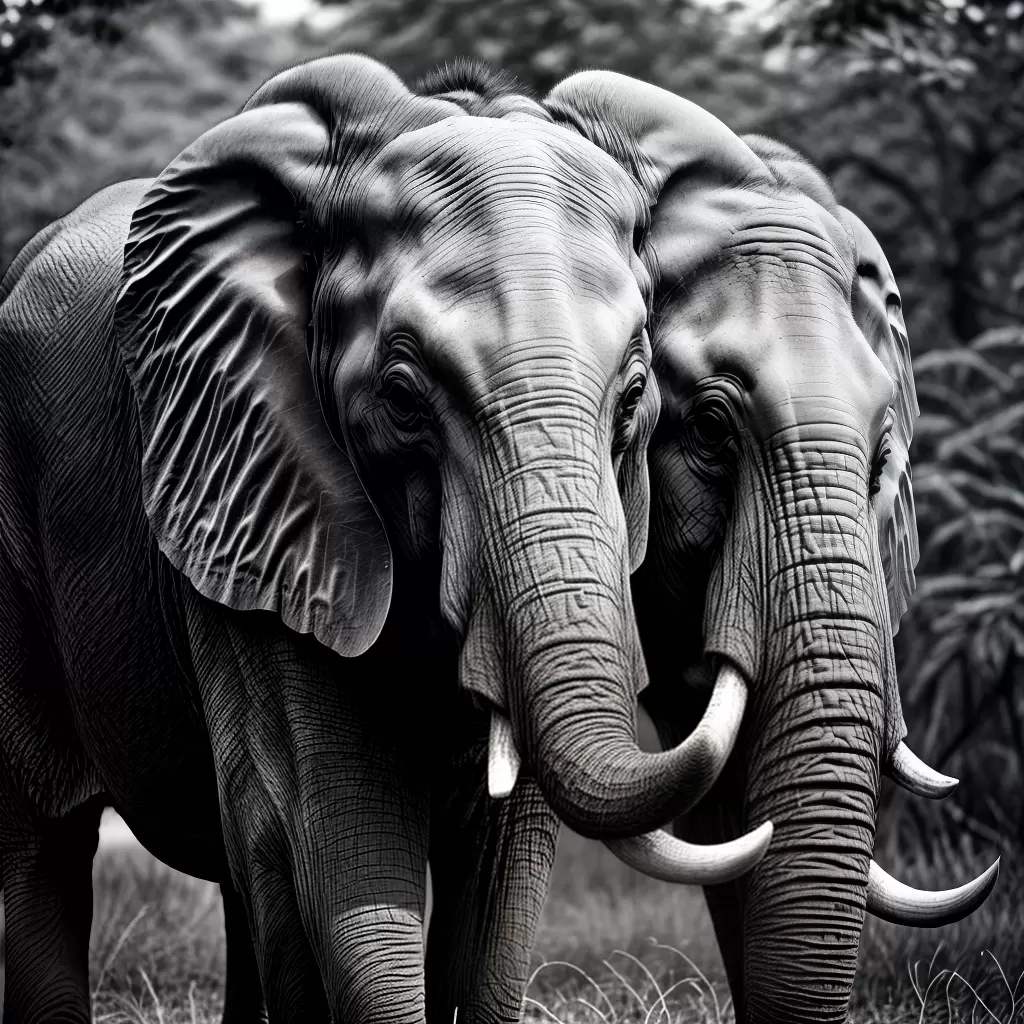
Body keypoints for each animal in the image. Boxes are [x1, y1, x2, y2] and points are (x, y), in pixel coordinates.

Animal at [0, 55, 775, 1024]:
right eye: (403, 397)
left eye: (636, 393)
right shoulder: (258, 492)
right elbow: (346, 841)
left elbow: (500, 881)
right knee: (48, 835)